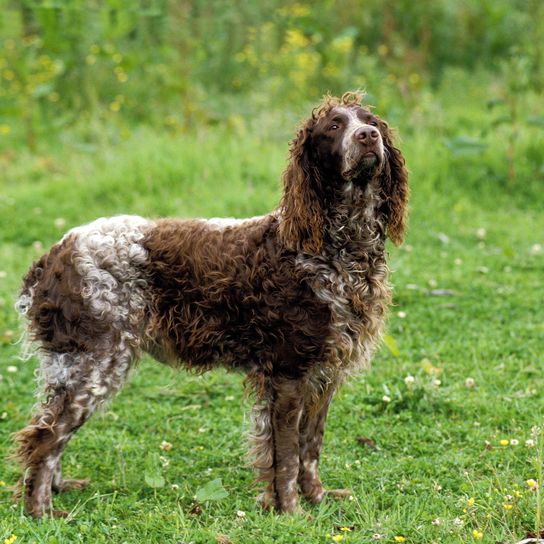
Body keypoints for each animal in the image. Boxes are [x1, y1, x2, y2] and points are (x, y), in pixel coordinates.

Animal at [13, 91, 408, 516]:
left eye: (371, 121)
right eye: (334, 126)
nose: (367, 136)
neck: (337, 247)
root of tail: (54, 254)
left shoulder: (323, 375)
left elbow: (310, 447)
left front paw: (316, 498)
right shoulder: (289, 371)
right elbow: (286, 455)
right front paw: (290, 511)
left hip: (73, 366)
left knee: (49, 430)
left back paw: (58, 489)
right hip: (95, 363)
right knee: (44, 437)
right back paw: (42, 512)